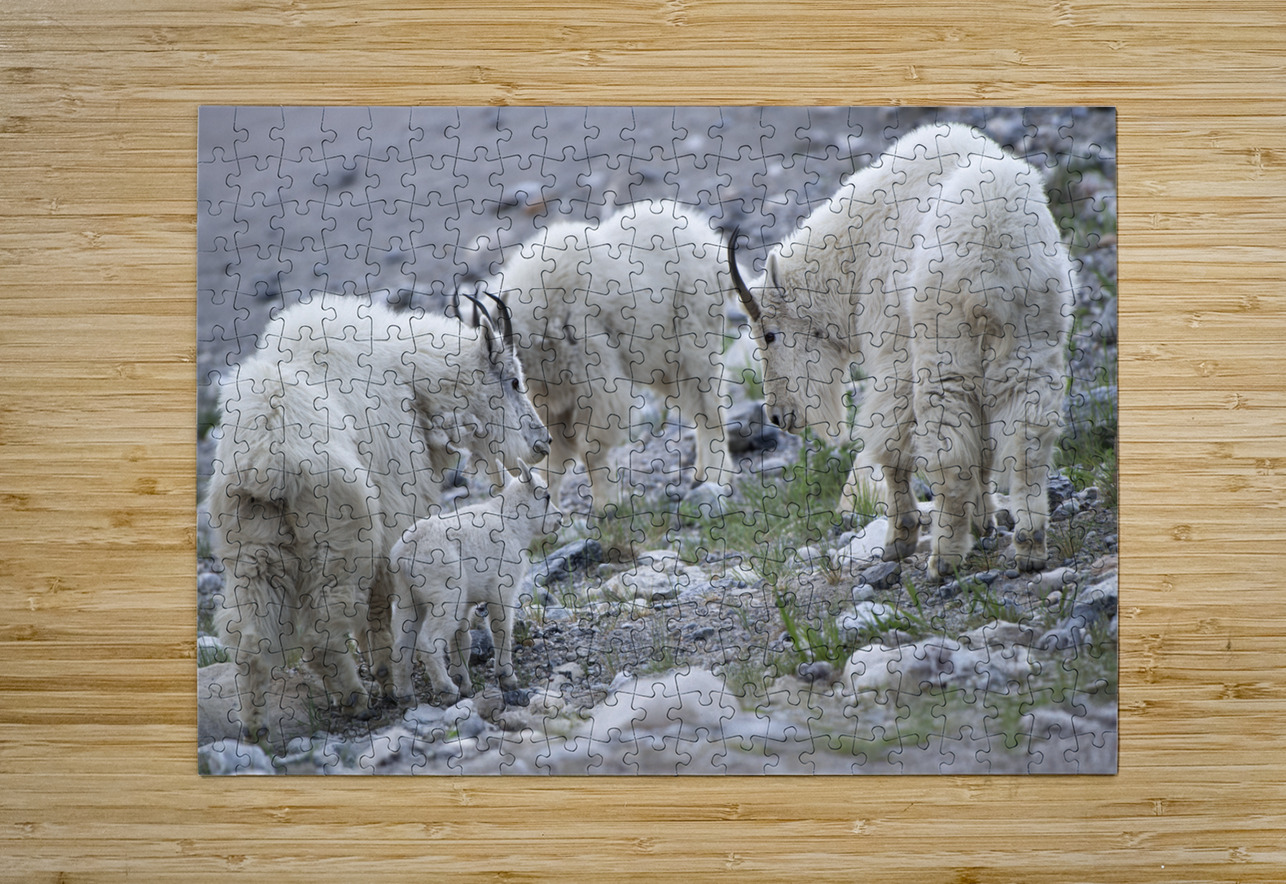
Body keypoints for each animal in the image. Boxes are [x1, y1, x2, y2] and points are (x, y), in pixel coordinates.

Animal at [388, 462, 562, 705]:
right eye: (546, 496)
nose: (559, 519)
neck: (512, 521)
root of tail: (404, 556)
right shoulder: (502, 588)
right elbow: (501, 630)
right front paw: (506, 677)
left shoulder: (467, 603)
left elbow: (462, 638)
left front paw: (465, 683)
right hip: (445, 593)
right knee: (427, 640)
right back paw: (445, 689)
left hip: (408, 596)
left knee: (402, 643)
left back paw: (405, 695)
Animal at [729, 123, 1074, 579]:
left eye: (769, 335)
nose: (777, 415)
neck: (852, 256)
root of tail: (996, 243)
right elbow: (982, 447)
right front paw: (984, 521)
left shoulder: (893, 350)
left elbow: (891, 446)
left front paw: (899, 539)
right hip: (1030, 339)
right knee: (1028, 435)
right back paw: (1030, 545)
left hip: (945, 347)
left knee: (948, 442)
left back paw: (943, 557)